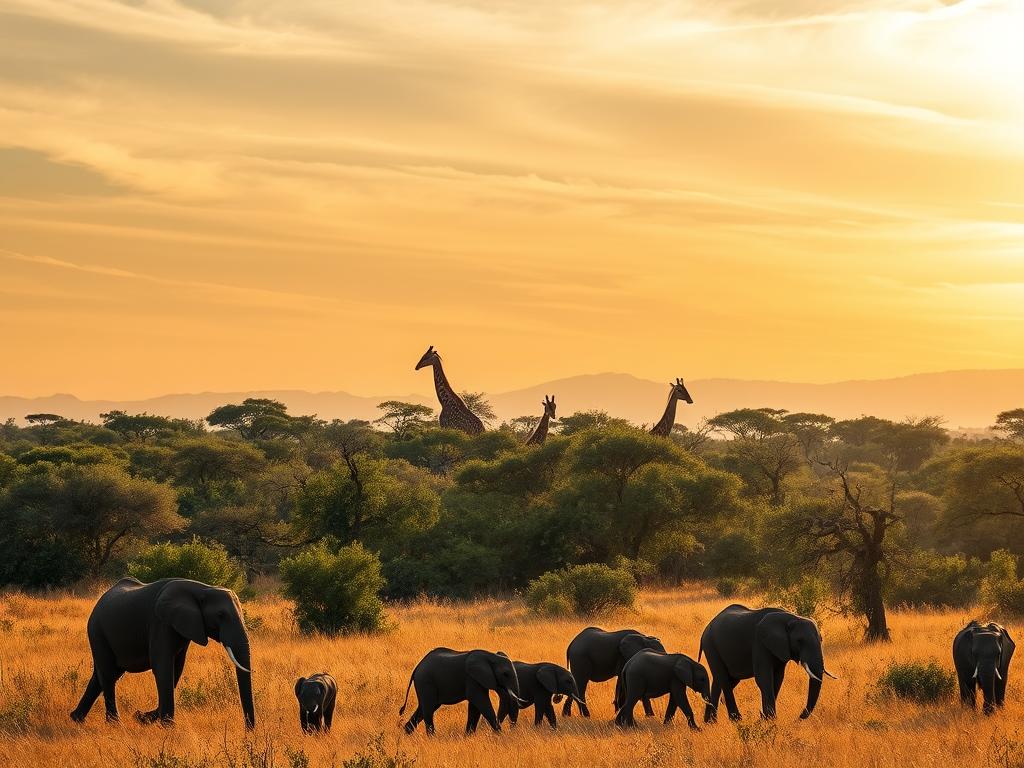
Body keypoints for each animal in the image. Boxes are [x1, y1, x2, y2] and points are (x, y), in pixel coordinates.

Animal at [69, 577, 255, 729]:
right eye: (220, 615)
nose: (248, 730)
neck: (201, 588)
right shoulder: (160, 623)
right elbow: (163, 666)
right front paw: (167, 726)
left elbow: (176, 668)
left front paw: (145, 718)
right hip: (97, 631)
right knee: (108, 674)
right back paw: (115, 724)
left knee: (103, 675)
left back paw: (76, 719)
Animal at [699, 604, 835, 723]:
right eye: (799, 641)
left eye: (821, 639)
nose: (799, 717)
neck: (791, 618)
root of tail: (706, 629)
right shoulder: (760, 643)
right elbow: (764, 678)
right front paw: (770, 720)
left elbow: (778, 679)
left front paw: (764, 719)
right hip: (711, 647)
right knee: (724, 680)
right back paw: (736, 720)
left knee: (721, 681)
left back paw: (710, 722)